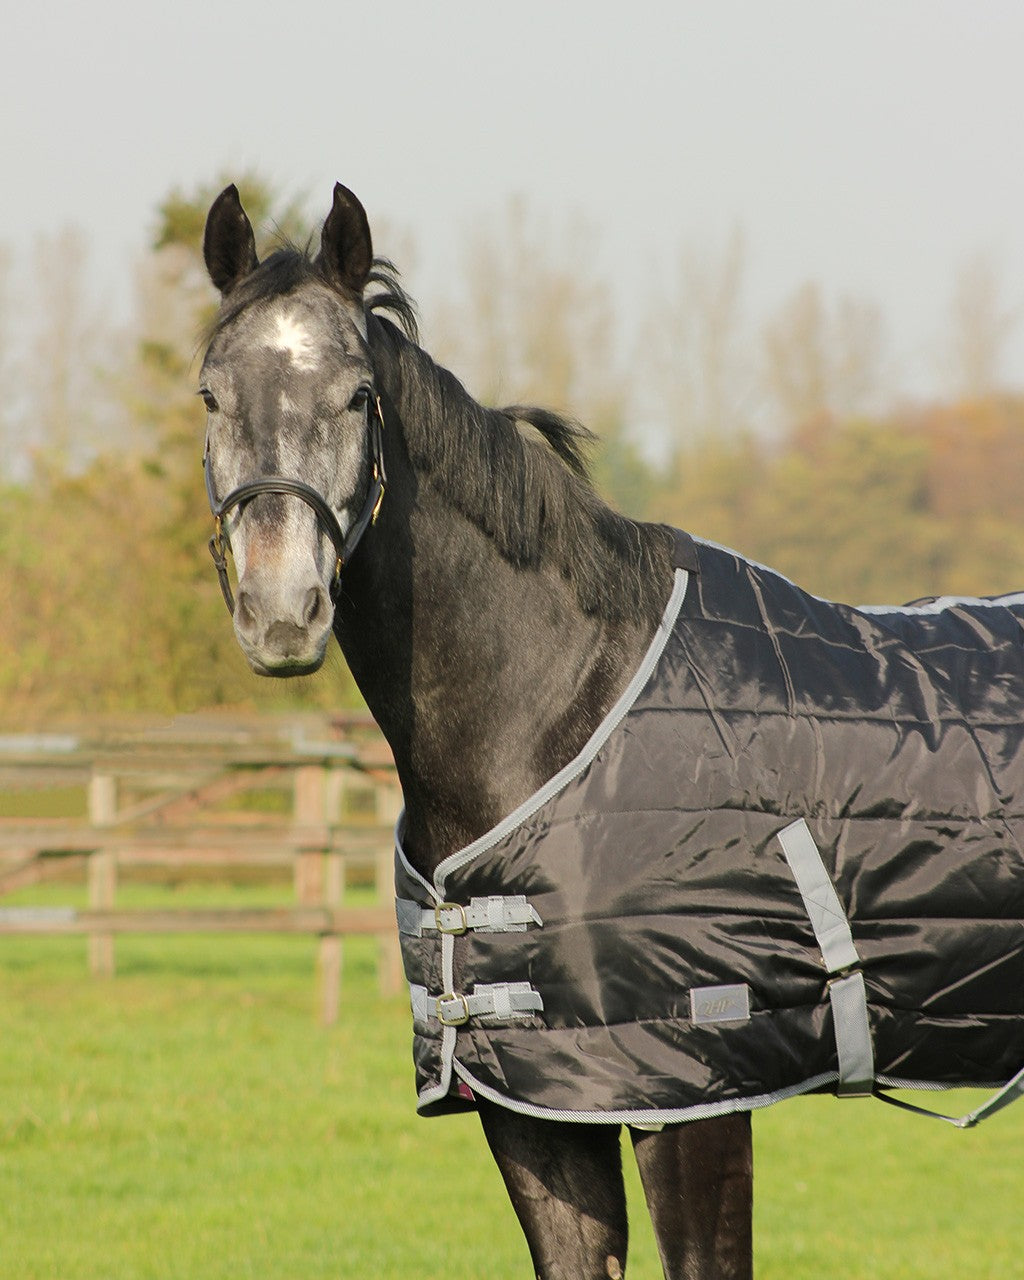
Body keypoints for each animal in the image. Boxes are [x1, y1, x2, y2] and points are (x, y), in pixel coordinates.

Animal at [196, 183, 1024, 1278]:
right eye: (211, 395)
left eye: (357, 396)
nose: (283, 611)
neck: (564, 707)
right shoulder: (533, 1099)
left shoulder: (693, 1089)